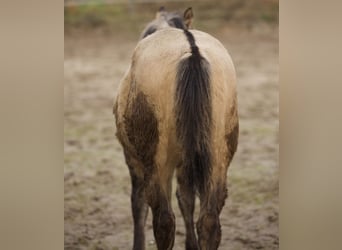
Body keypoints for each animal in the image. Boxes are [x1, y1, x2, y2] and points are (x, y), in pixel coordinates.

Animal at [113, 6, 239, 249]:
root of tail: (191, 51)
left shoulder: (132, 157)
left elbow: (138, 204)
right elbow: (186, 198)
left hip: (155, 159)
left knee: (163, 220)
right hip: (218, 153)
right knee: (209, 219)